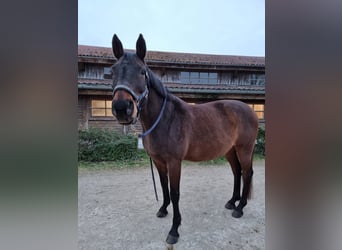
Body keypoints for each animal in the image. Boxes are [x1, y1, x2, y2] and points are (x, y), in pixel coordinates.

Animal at [111, 33, 258, 244]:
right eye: (112, 71)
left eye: (142, 71)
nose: (122, 108)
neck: (165, 119)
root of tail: (250, 110)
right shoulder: (159, 161)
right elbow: (164, 187)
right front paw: (163, 210)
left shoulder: (174, 162)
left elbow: (175, 193)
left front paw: (174, 230)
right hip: (230, 150)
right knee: (237, 172)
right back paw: (232, 202)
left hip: (244, 148)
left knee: (247, 173)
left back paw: (240, 208)